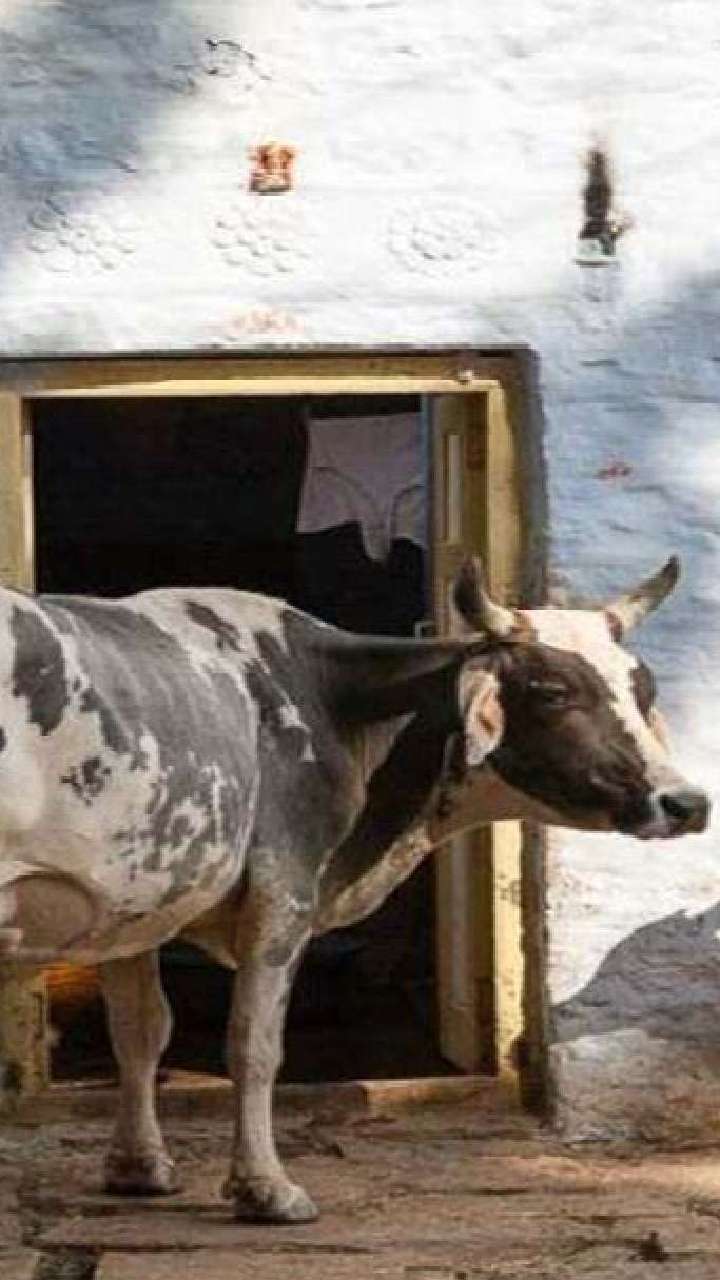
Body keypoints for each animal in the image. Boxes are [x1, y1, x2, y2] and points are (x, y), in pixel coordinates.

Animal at [0, 555, 709, 1223]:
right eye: (554, 690)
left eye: (643, 687)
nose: (685, 803)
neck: (332, 698)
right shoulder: (283, 890)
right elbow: (253, 1044)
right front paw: (266, 1188)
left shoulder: (138, 900)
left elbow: (141, 1031)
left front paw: (140, 1167)